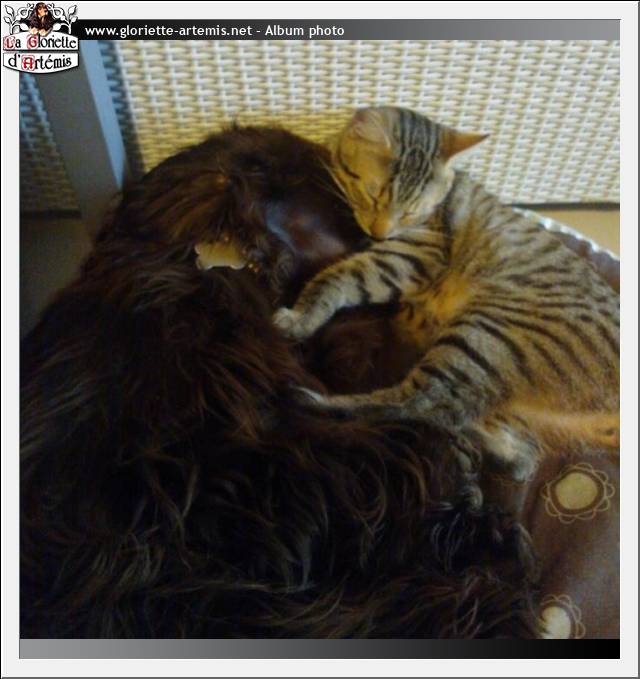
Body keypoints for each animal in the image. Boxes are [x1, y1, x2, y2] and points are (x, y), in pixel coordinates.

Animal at [273, 106, 620, 479]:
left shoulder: (411, 256)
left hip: (485, 334)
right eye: (372, 192)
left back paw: (314, 401)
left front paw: (301, 316)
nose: (380, 233)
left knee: (420, 405)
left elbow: (337, 278)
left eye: (410, 212)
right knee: (517, 456)